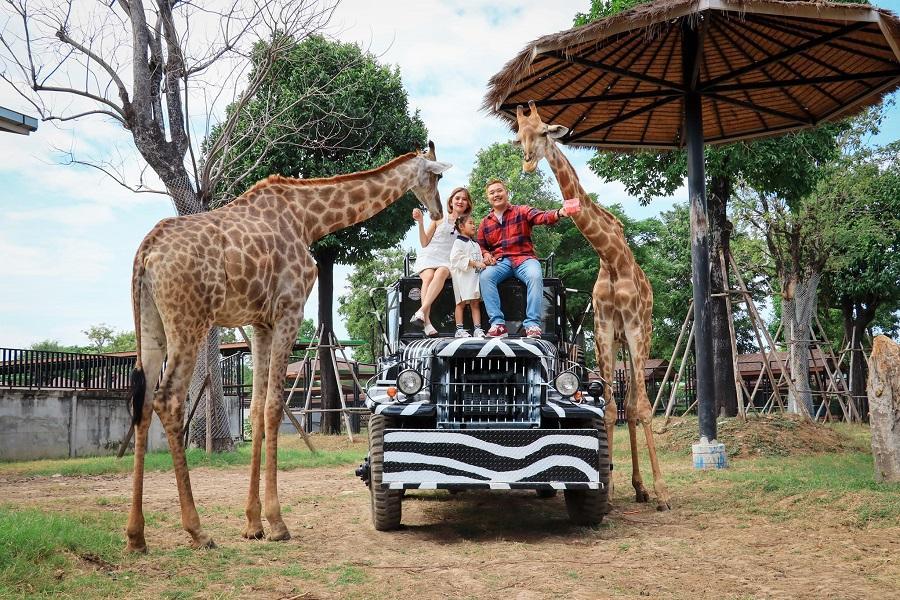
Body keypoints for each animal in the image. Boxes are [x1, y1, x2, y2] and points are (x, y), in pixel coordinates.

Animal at [125, 142, 450, 552]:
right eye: (435, 177)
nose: (438, 211)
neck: (308, 219)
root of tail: (146, 252)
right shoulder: (289, 310)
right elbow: (274, 406)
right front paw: (277, 523)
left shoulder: (260, 322)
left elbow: (255, 409)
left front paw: (253, 524)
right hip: (189, 321)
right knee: (168, 399)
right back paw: (197, 530)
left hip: (152, 325)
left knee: (143, 402)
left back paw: (136, 536)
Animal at [512, 102, 668, 510]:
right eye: (519, 135)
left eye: (544, 132)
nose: (528, 164)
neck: (611, 257)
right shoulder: (602, 327)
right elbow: (611, 408)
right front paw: (609, 491)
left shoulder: (632, 324)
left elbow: (642, 408)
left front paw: (663, 493)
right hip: (618, 339)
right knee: (626, 402)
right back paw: (638, 487)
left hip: (641, 333)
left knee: (638, 402)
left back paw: (652, 490)